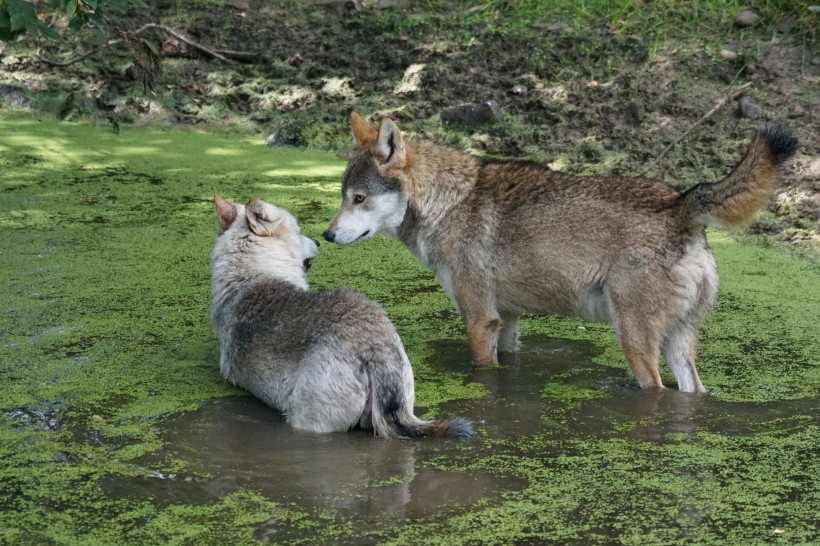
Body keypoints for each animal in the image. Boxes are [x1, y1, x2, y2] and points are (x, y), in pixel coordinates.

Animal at [324, 111, 796, 392]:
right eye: (344, 196)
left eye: (360, 199)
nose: (327, 236)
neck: (449, 202)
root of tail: (680, 204)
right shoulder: (507, 320)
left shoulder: (479, 321)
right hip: (678, 346)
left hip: (635, 342)